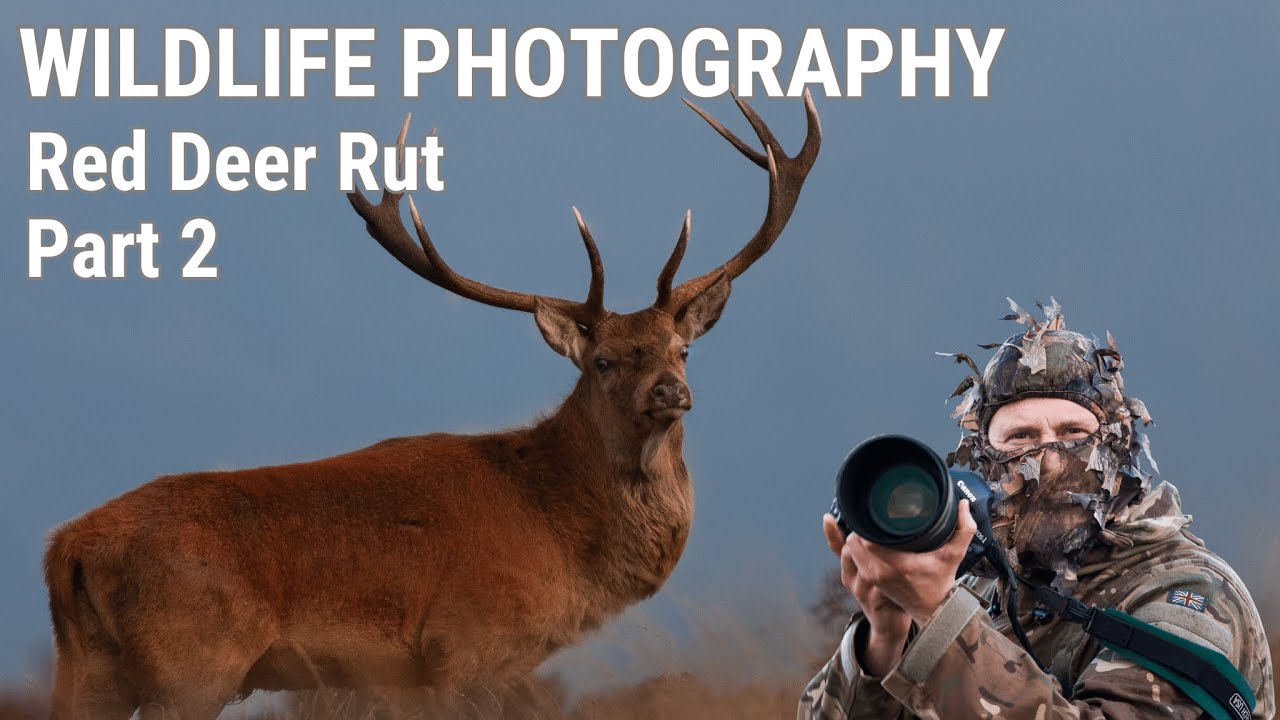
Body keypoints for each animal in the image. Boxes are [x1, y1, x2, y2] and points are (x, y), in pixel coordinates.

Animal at [43, 90, 821, 720]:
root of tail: (66, 548)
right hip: (191, 662)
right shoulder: (467, 646)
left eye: (681, 349)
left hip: (87, 670)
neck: (559, 539)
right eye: (602, 361)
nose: (669, 391)